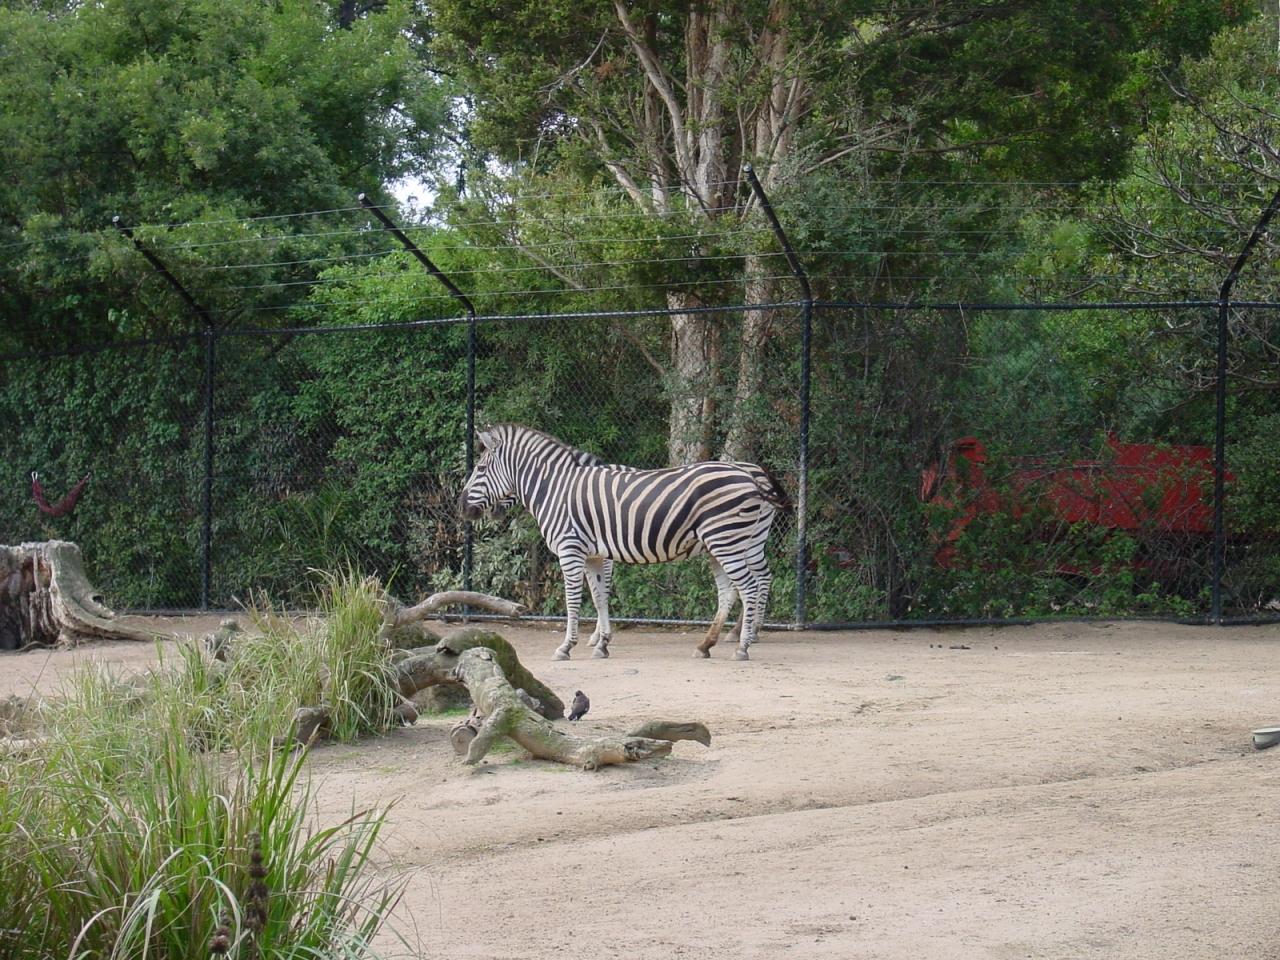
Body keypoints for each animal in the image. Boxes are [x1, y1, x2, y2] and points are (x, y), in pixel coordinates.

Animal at [458, 424, 787, 661]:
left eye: (480, 470)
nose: (462, 508)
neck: (555, 488)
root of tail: (751, 475)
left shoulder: (571, 550)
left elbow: (574, 599)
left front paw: (567, 646)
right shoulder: (594, 554)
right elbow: (600, 596)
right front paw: (601, 643)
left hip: (728, 540)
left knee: (750, 586)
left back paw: (743, 645)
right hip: (727, 543)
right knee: (732, 591)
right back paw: (707, 644)